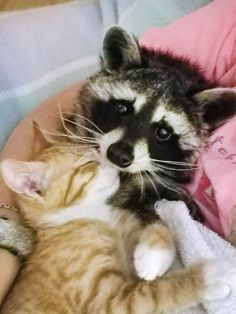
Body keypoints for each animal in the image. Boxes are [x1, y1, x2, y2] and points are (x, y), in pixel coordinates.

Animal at [0, 144, 236, 312]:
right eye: (88, 162)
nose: (112, 158)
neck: (97, 214)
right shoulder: (108, 302)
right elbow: (158, 292)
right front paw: (210, 275)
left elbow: (158, 224)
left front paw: (153, 256)